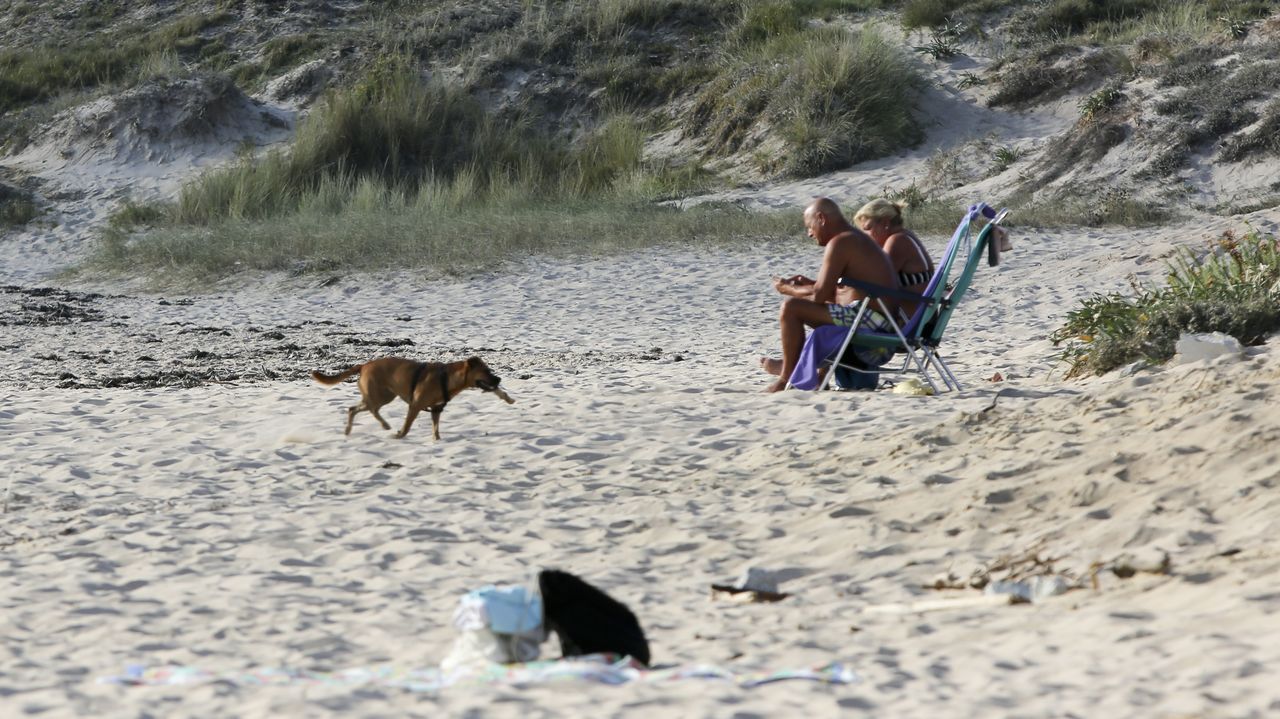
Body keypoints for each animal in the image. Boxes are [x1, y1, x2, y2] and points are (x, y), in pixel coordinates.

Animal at [311, 353, 514, 437]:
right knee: (363, 408)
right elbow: (407, 426)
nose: (498, 379)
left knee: (356, 408)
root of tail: (364, 365)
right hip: (379, 395)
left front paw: (437, 441)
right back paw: (382, 426)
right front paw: (400, 435)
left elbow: (436, 430)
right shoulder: (415, 405)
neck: (448, 378)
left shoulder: (436, 410)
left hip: (383, 395)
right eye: (486, 371)